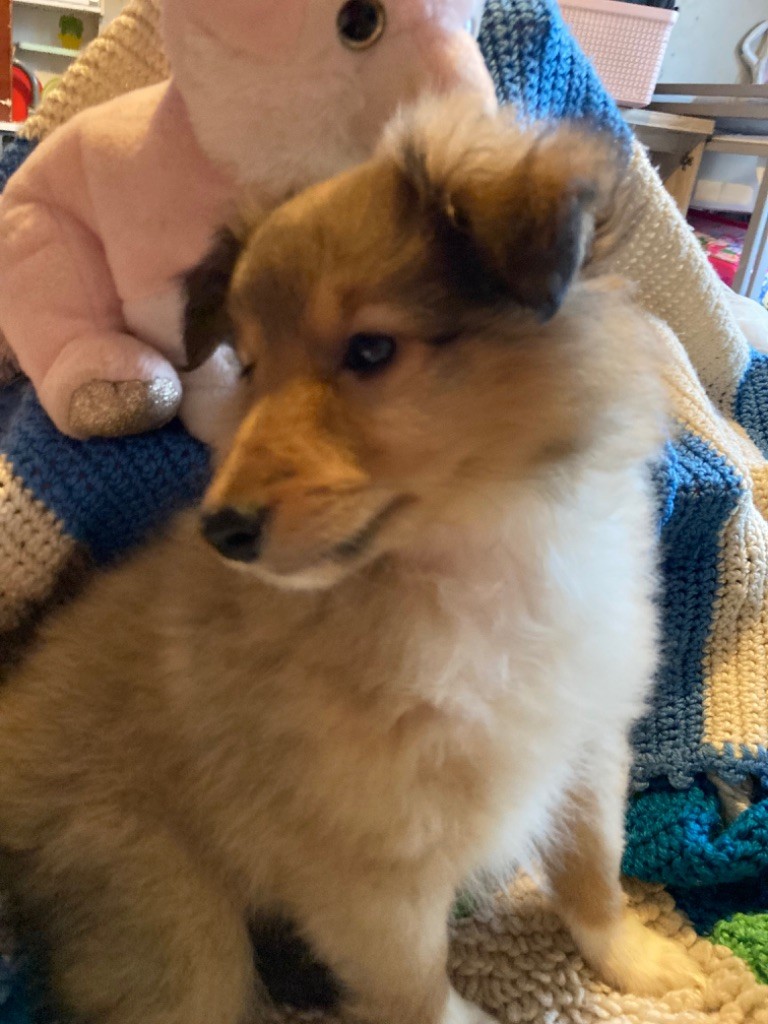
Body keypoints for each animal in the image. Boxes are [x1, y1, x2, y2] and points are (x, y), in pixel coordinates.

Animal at [0, 95, 700, 1024]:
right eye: (249, 366)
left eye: (370, 350)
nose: (223, 531)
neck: (479, 561)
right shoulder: (365, 870)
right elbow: (419, 990)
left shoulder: (586, 743)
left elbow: (593, 870)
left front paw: (640, 962)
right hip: (166, 910)